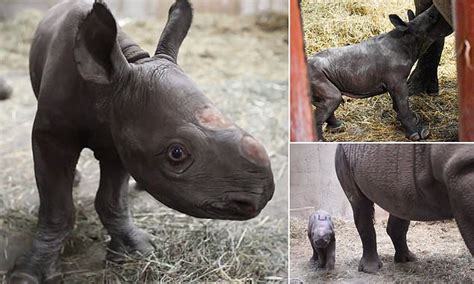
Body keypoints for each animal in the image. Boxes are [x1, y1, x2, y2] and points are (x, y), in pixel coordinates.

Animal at [7, 0, 274, 282]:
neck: (109, 90)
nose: (261, 196)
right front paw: (28, 273)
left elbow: (112, 199)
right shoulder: (52, 136)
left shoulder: (122, 136)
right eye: (176, 154)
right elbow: (57, 208)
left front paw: (137, 250)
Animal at [308, 5, 452, 141]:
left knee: (326, 101)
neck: (408, 38)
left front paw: (413, 119)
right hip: (316, 75)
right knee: (333, 98)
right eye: (432, 17)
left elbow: (398, 105)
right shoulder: (397, 81)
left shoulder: (395, 82)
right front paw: (418, 134)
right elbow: (402, 105)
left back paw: (338, 127)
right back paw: (321, 140)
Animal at [336, 144, 472, 272]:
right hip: (343, 156)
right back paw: (371, 269)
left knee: (401, 204)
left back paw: (407, 259)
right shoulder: (461, 171)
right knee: (360, 203)